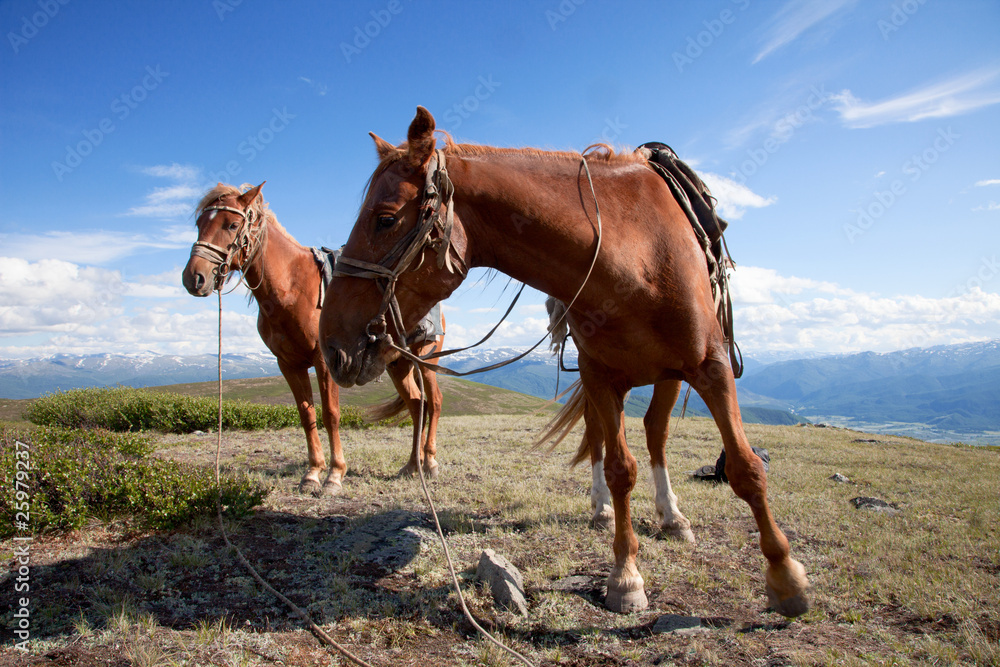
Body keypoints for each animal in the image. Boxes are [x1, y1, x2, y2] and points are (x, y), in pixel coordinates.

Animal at [181, 182, 446, 497]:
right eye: (199, 224)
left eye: (232, 224)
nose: (194, 278)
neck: (292, 288)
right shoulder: (288, 364)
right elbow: (306, 415)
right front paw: (312, 474)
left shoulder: (326, 361)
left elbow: (330, 414)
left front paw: (335, 475)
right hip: (397, 364)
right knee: (416, 404)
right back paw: (410, 466)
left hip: (426, 358)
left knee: (434, 401)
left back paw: (430, 463)